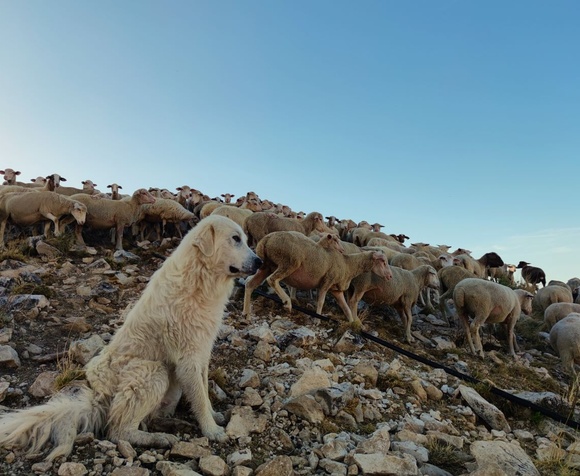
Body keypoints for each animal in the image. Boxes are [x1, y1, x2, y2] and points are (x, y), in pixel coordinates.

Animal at [0, 215, 260, 458]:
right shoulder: (188, 358)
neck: (199, 278)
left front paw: (214, 415)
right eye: (235, 239)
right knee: (119, 430)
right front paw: (212, 430)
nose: (260, 261)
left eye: (246, 240)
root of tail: (98, 396)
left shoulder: (202, 352)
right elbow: (199, 397)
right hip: (153, 372)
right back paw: (159, 438)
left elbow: (204, 391)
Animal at [242, 231, 392, 324]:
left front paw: (352, 324)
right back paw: (287, 302)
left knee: (250, 285)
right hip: (289, 262)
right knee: (272, 280)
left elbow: (346, 309)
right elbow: (321, 301)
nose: (390, 276)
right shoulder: (326, 282)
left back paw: (246, 314)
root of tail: (267, 239)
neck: (348, 264)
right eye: (383, 262)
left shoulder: (336, 291)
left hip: (266, 266)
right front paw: (317, 319)